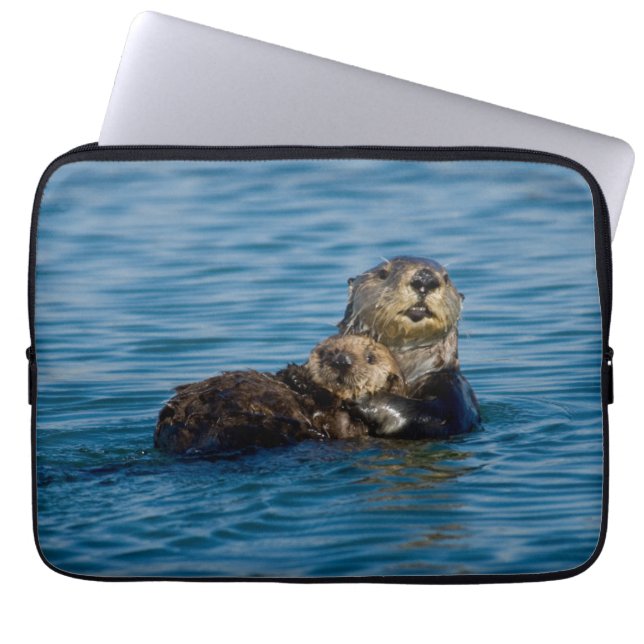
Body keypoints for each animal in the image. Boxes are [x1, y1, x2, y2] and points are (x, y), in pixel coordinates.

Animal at [154, 334, 404, 454]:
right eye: (325, 351)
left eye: (371, 358)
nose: (340, 359)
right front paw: (294, 373)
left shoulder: (346, 425)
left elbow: (337, 423)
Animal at [338, 256, 480, 439]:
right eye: (383, 273)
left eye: (447, 278)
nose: (425, 279)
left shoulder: (455, 390)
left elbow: (437, 416)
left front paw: (364, 397)